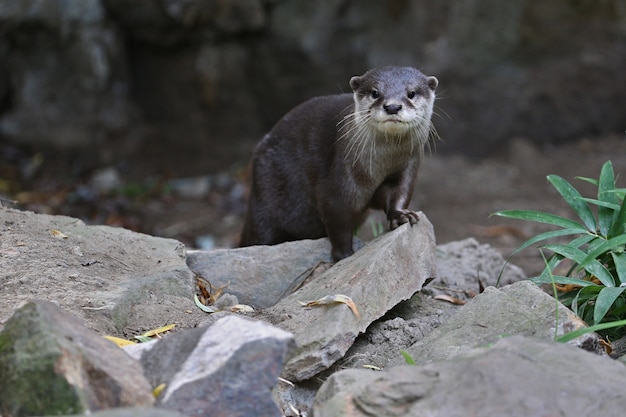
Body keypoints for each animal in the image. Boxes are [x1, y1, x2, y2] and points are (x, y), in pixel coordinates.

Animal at [239, 66, 438, 260]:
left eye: (411, 93)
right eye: (375, 92)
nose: (393, 106)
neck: (380, 166)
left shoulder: (406, 169)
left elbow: (398, 193)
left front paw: (400, 215)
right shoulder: (338, 180)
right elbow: (337, 219)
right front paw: (344, 254)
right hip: (265, 198)